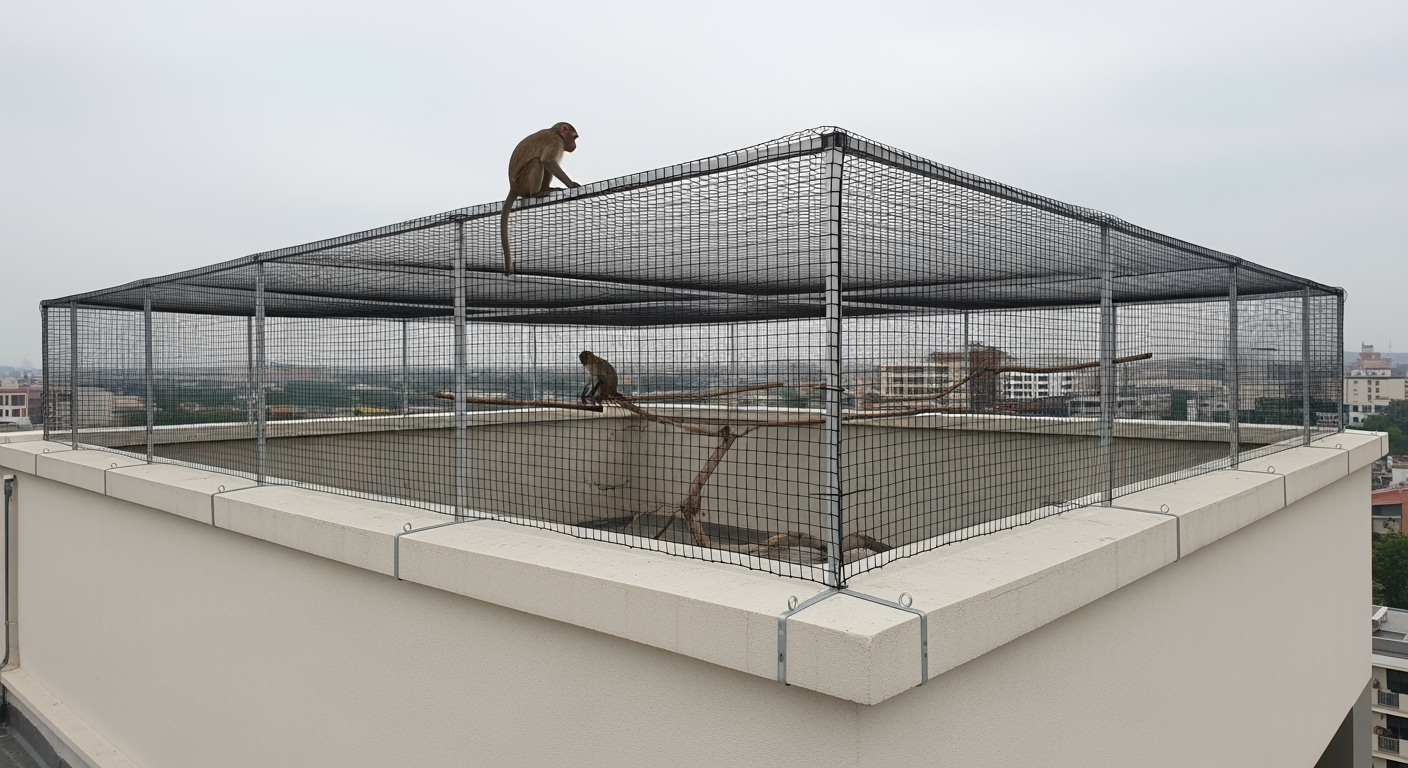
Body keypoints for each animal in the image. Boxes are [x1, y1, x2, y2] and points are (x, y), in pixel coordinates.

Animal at [500, 122, 581, 275]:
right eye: (574, 137)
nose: (575, 146)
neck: (555, 132)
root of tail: (513, 187)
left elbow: (548, 164)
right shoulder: (556, 142)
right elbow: (548, 161)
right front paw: (571, 184)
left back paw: (545, 189)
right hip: (522, 182)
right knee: (537, 162)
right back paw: (536, 193)